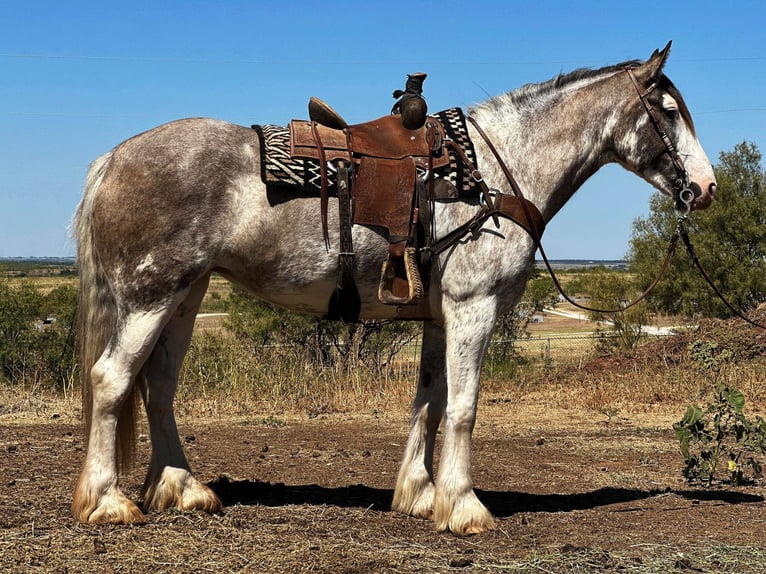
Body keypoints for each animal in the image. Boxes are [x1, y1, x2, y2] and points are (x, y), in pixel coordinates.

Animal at [69, 44, 716, 536]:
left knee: (157, 386)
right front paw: (465, 507)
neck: (490, 174)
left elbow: (428, 402)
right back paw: (107, 501)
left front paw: (421, 494)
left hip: (185, 296)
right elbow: (462, 408)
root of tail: (114, 157)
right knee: (112, 380)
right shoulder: (473, 308)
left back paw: (183, 488)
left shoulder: (439, 317)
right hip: (151, 297)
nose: (706, 188)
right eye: (667, 110)